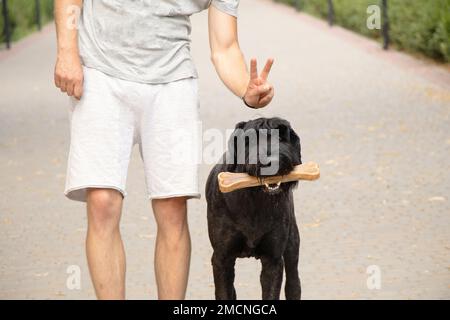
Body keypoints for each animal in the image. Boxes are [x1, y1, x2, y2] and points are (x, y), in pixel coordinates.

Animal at [207, 117, 302, 300]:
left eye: (282, 137)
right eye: (250, 140)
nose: (272, 161)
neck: (254, 200)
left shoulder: (273, 260)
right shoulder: (222, 259)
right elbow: (224, 293)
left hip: (292, 244)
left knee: (294, 283)